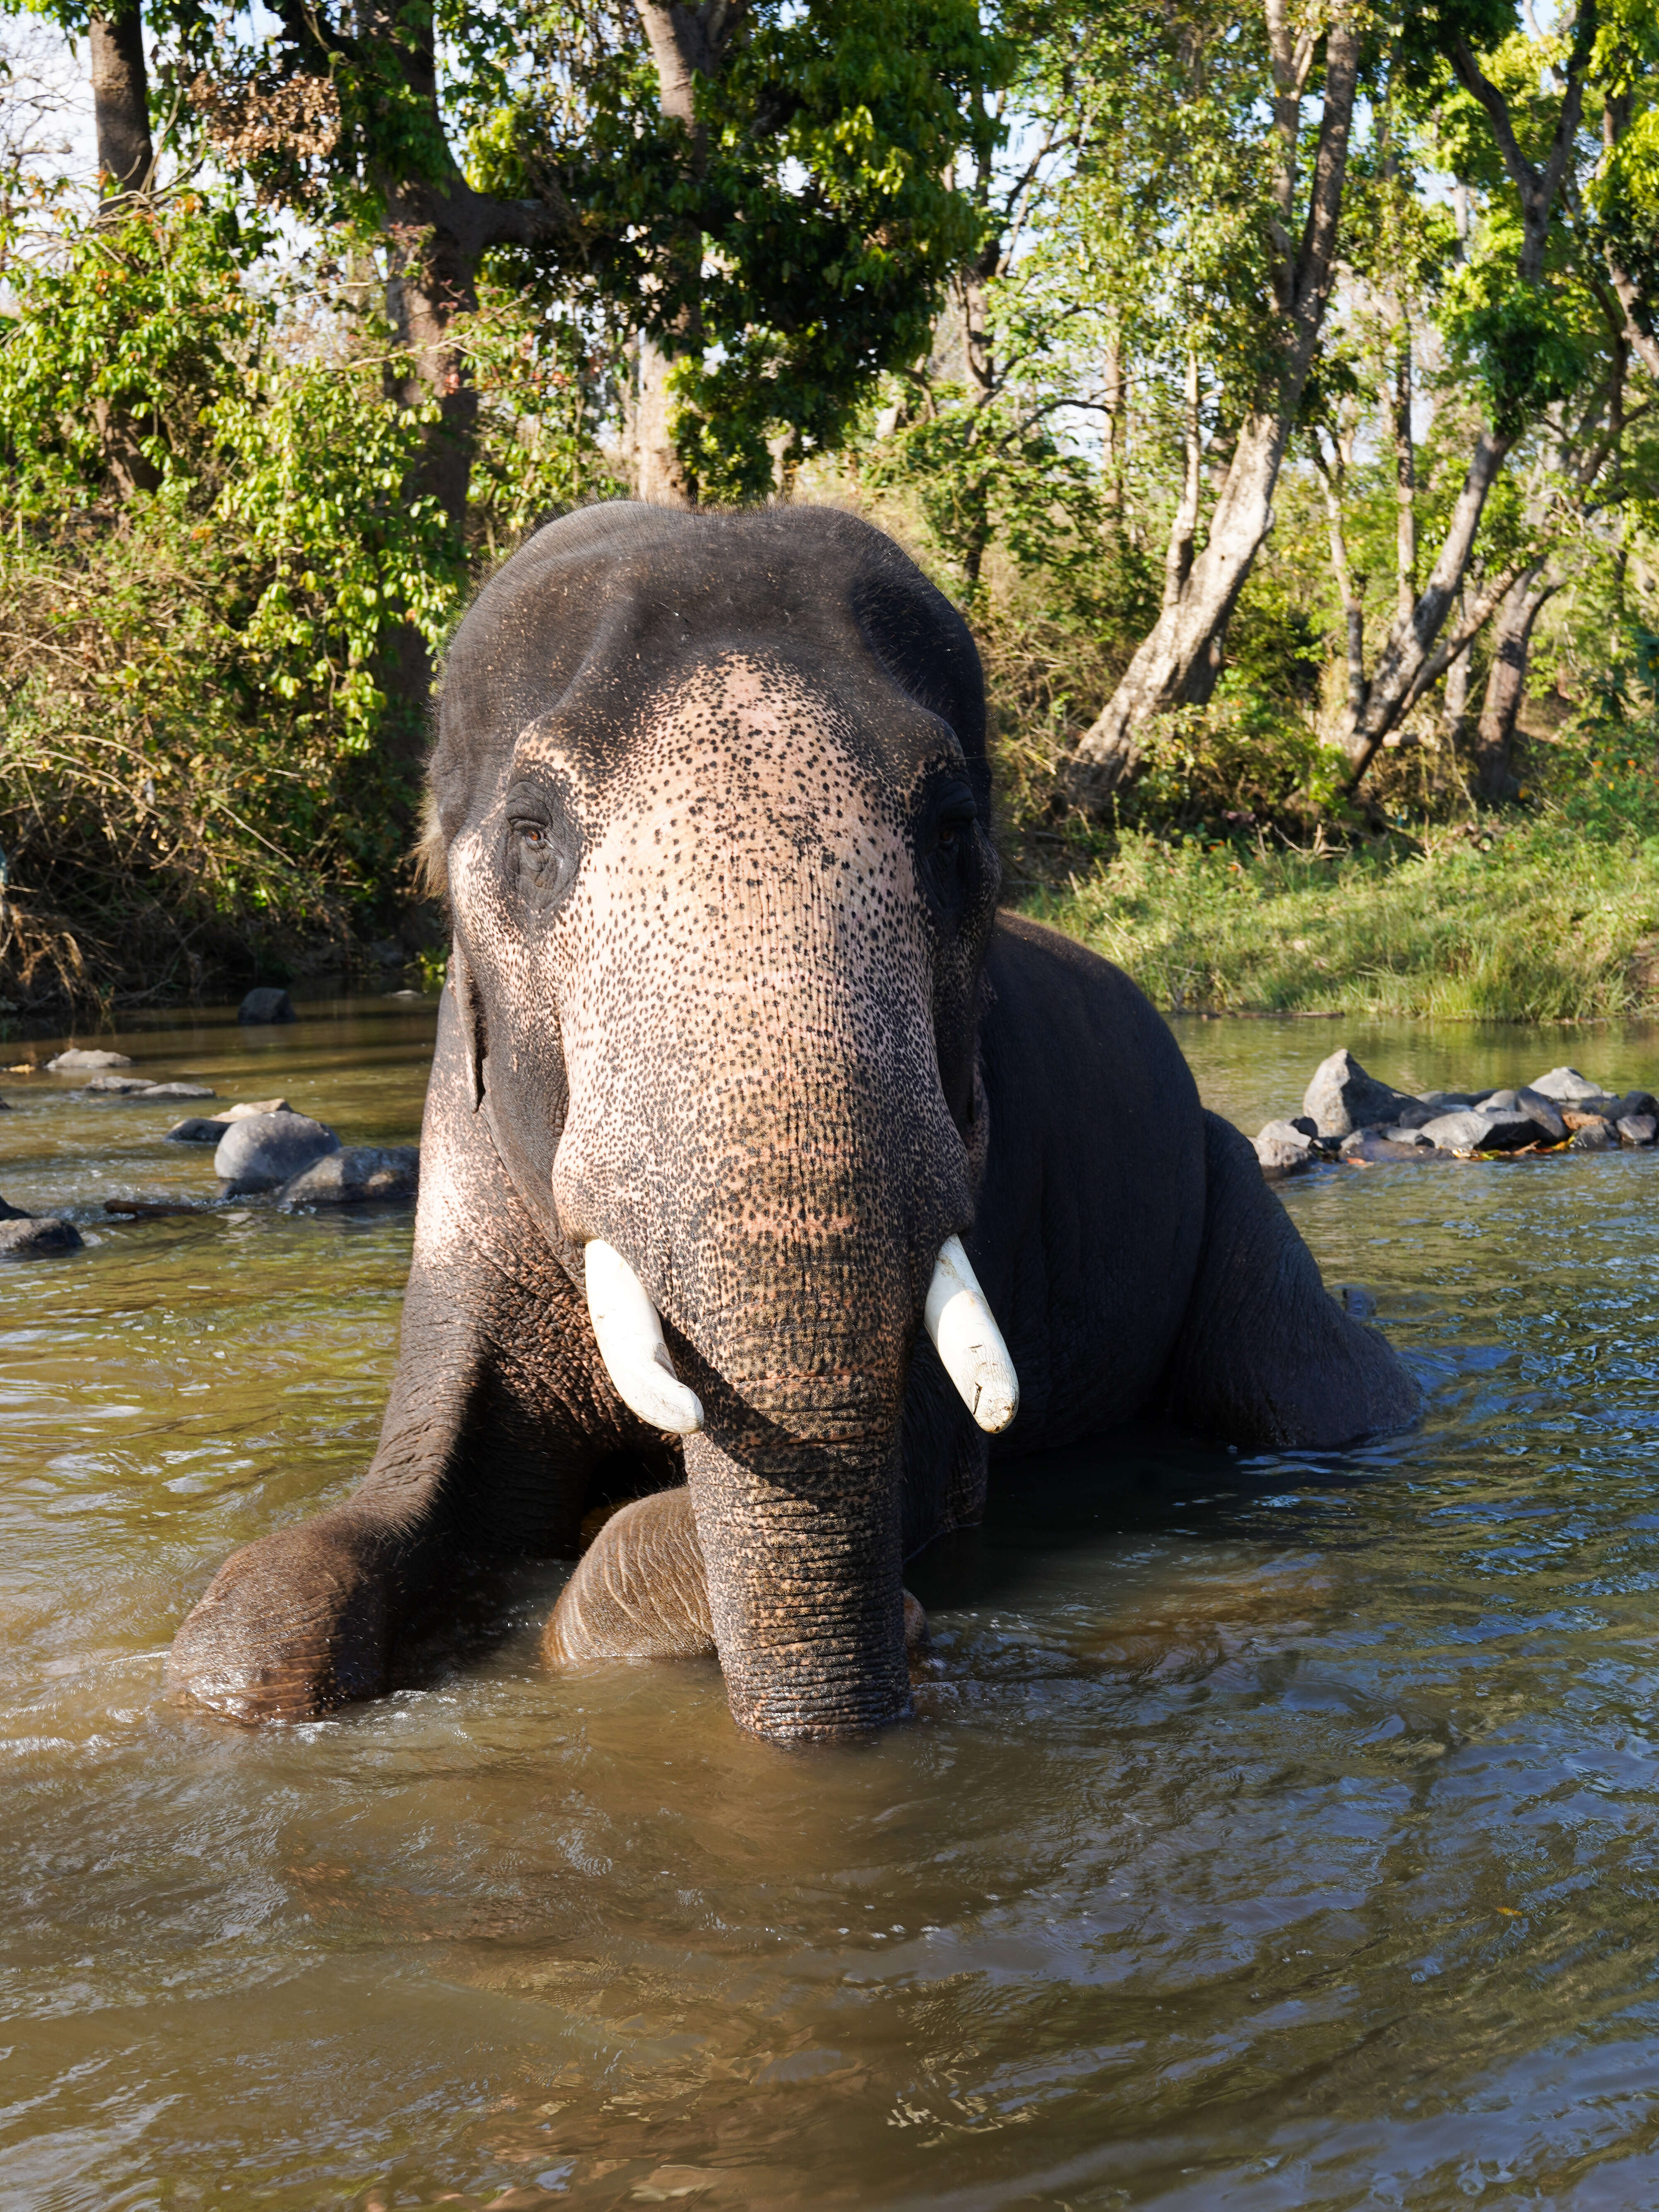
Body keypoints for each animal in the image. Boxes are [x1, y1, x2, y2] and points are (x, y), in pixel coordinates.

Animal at [166, 502, 1416, 1743]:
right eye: (530, 832)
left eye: (953, 829)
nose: (912, 1632)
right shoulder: (458, 1168)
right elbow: (334, 1550)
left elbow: (899, 1470)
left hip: (1228, 1189)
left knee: (1313, 1390)